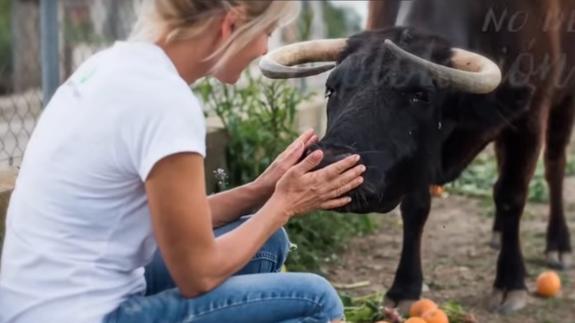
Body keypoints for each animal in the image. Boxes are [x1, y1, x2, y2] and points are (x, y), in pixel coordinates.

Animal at [262, 0, 575, 316]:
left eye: (420, 95)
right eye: (331, 89)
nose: (330, 161)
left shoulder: (530, 115)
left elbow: (511, 196)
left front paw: (510, 282)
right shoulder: (417, 158)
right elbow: (415, 208)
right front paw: (405, 288)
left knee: (554, 166)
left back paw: (558, 244)